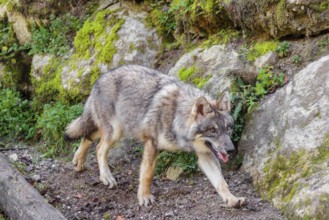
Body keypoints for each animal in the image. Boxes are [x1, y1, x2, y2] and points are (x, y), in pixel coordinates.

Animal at [65, 64, 246, 208]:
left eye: (228, 128)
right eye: (212, 130)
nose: (230, 150)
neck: (176, 117)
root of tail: (100, 78)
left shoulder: (205, 155)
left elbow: (221, 182)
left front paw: (232, 199)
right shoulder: (152, 144)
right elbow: (147, 174)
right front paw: (144, 197)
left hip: (118, 130)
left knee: (88, 136)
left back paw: (78, 161)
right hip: (115, 132)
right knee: (99, 148)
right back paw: (106, 177)